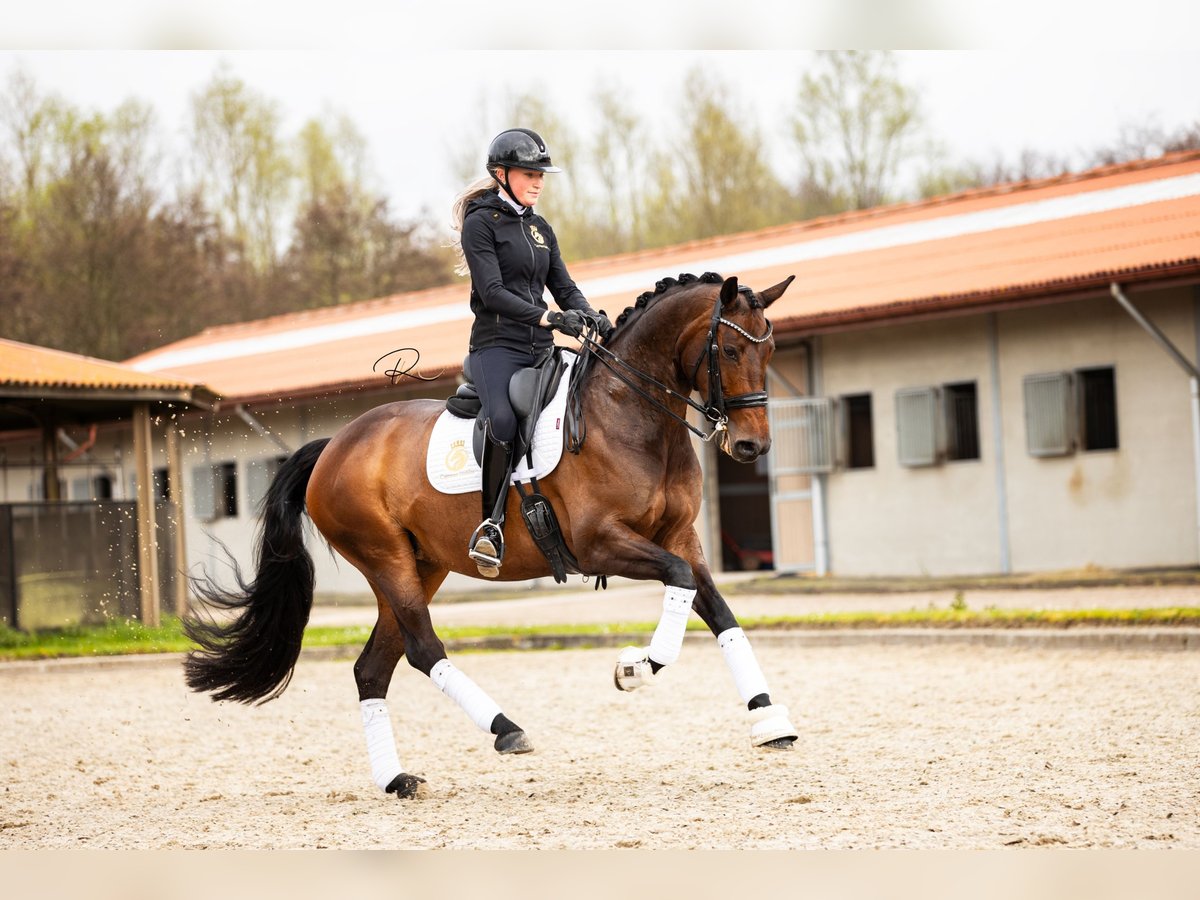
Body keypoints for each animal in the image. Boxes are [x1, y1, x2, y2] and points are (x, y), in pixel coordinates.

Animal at [184, 271, 796, 801]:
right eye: (731, 351)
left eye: (770, 352)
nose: (752, 447)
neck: (633, 417)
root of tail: (334, 444)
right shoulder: (599, 543)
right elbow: (678, 584)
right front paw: (634, 668)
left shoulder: (680, 536)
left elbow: (716, 608)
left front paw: (770, 718)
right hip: (385, 557)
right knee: (423, 648)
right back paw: (506, 728)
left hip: (421, 564)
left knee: (373, 667)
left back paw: (397, 779)